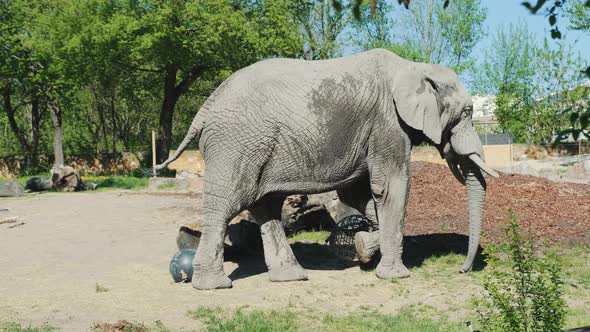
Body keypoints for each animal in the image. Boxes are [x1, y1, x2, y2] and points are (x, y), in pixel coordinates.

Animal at [155, 48, 498, 290]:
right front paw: (395, 275)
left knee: (265, 205)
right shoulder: (387, 124)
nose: (462, 269)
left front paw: (361, 245)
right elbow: (390, 187)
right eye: (467, 112)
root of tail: (204, 109)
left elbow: (360, 193)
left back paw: (291, 277)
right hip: (235, 145)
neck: (414, 66)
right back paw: (213, 285)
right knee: (227, 205)